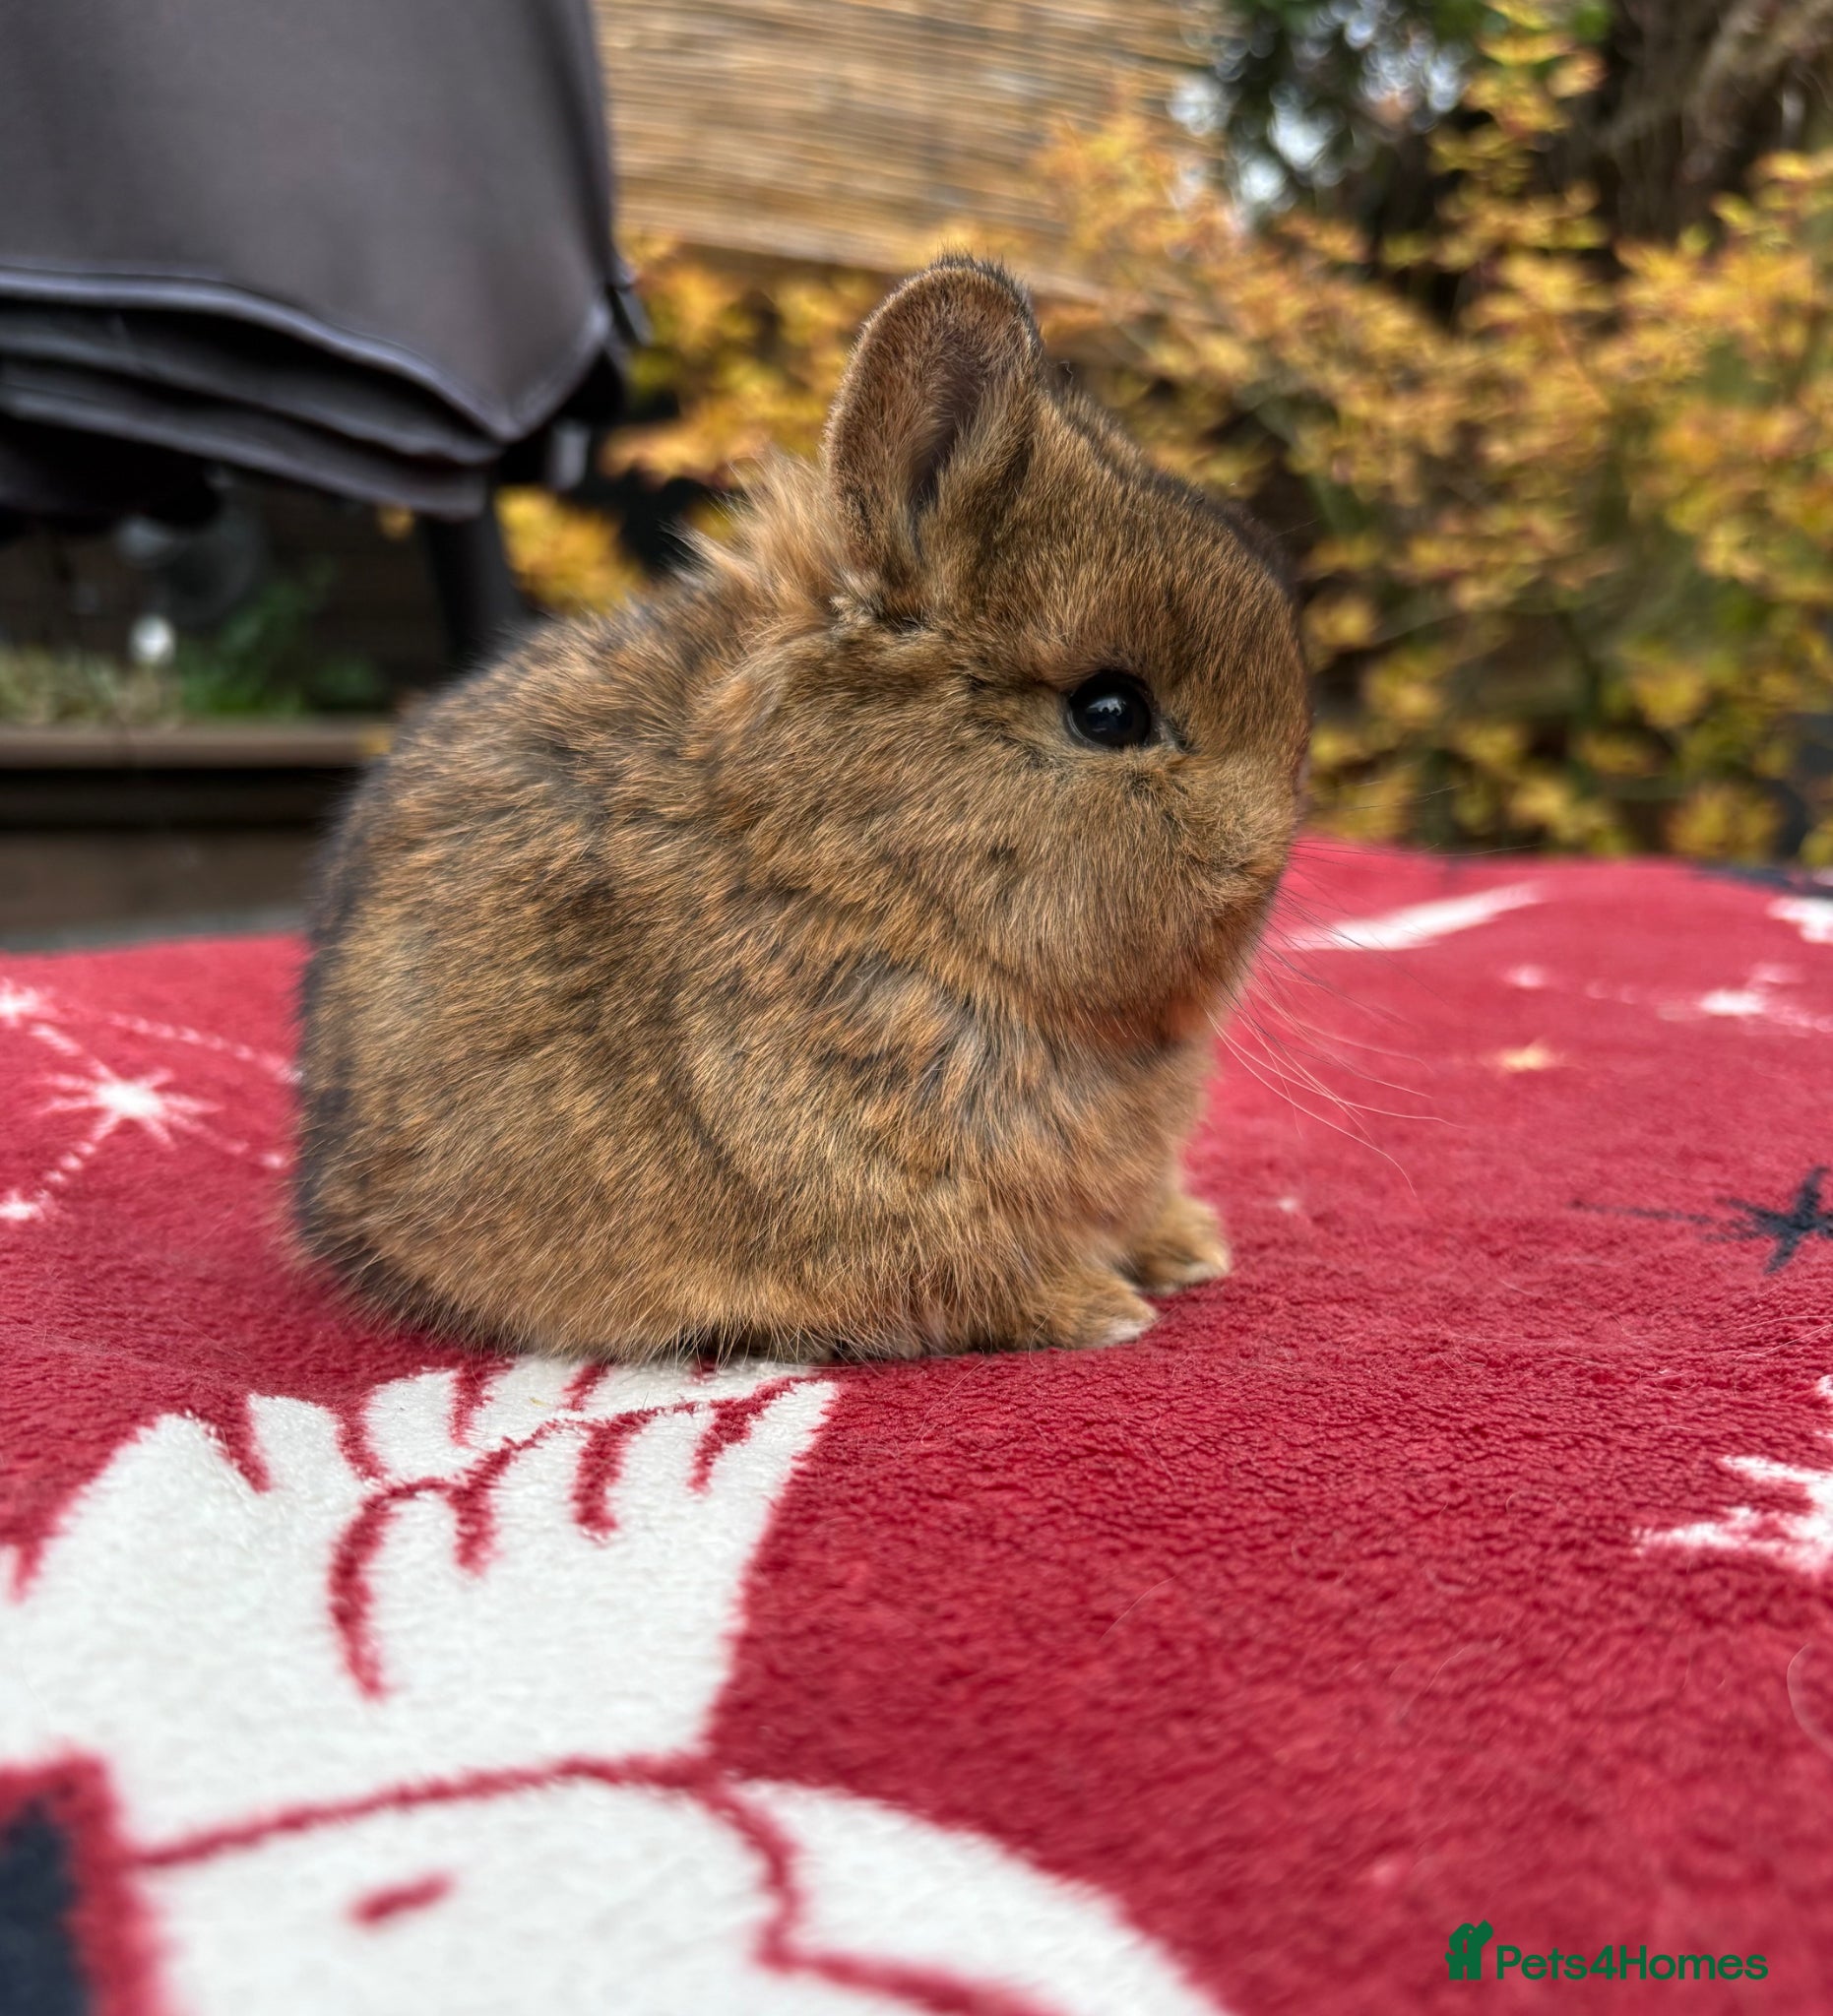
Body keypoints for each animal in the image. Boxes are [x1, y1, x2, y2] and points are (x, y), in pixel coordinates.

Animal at [295, 255, 1310, 1362]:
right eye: (1110, 712)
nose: (1268, 861)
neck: (853, 870)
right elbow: (967, 1274)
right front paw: (1104, 1308)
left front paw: (1186, 1248)